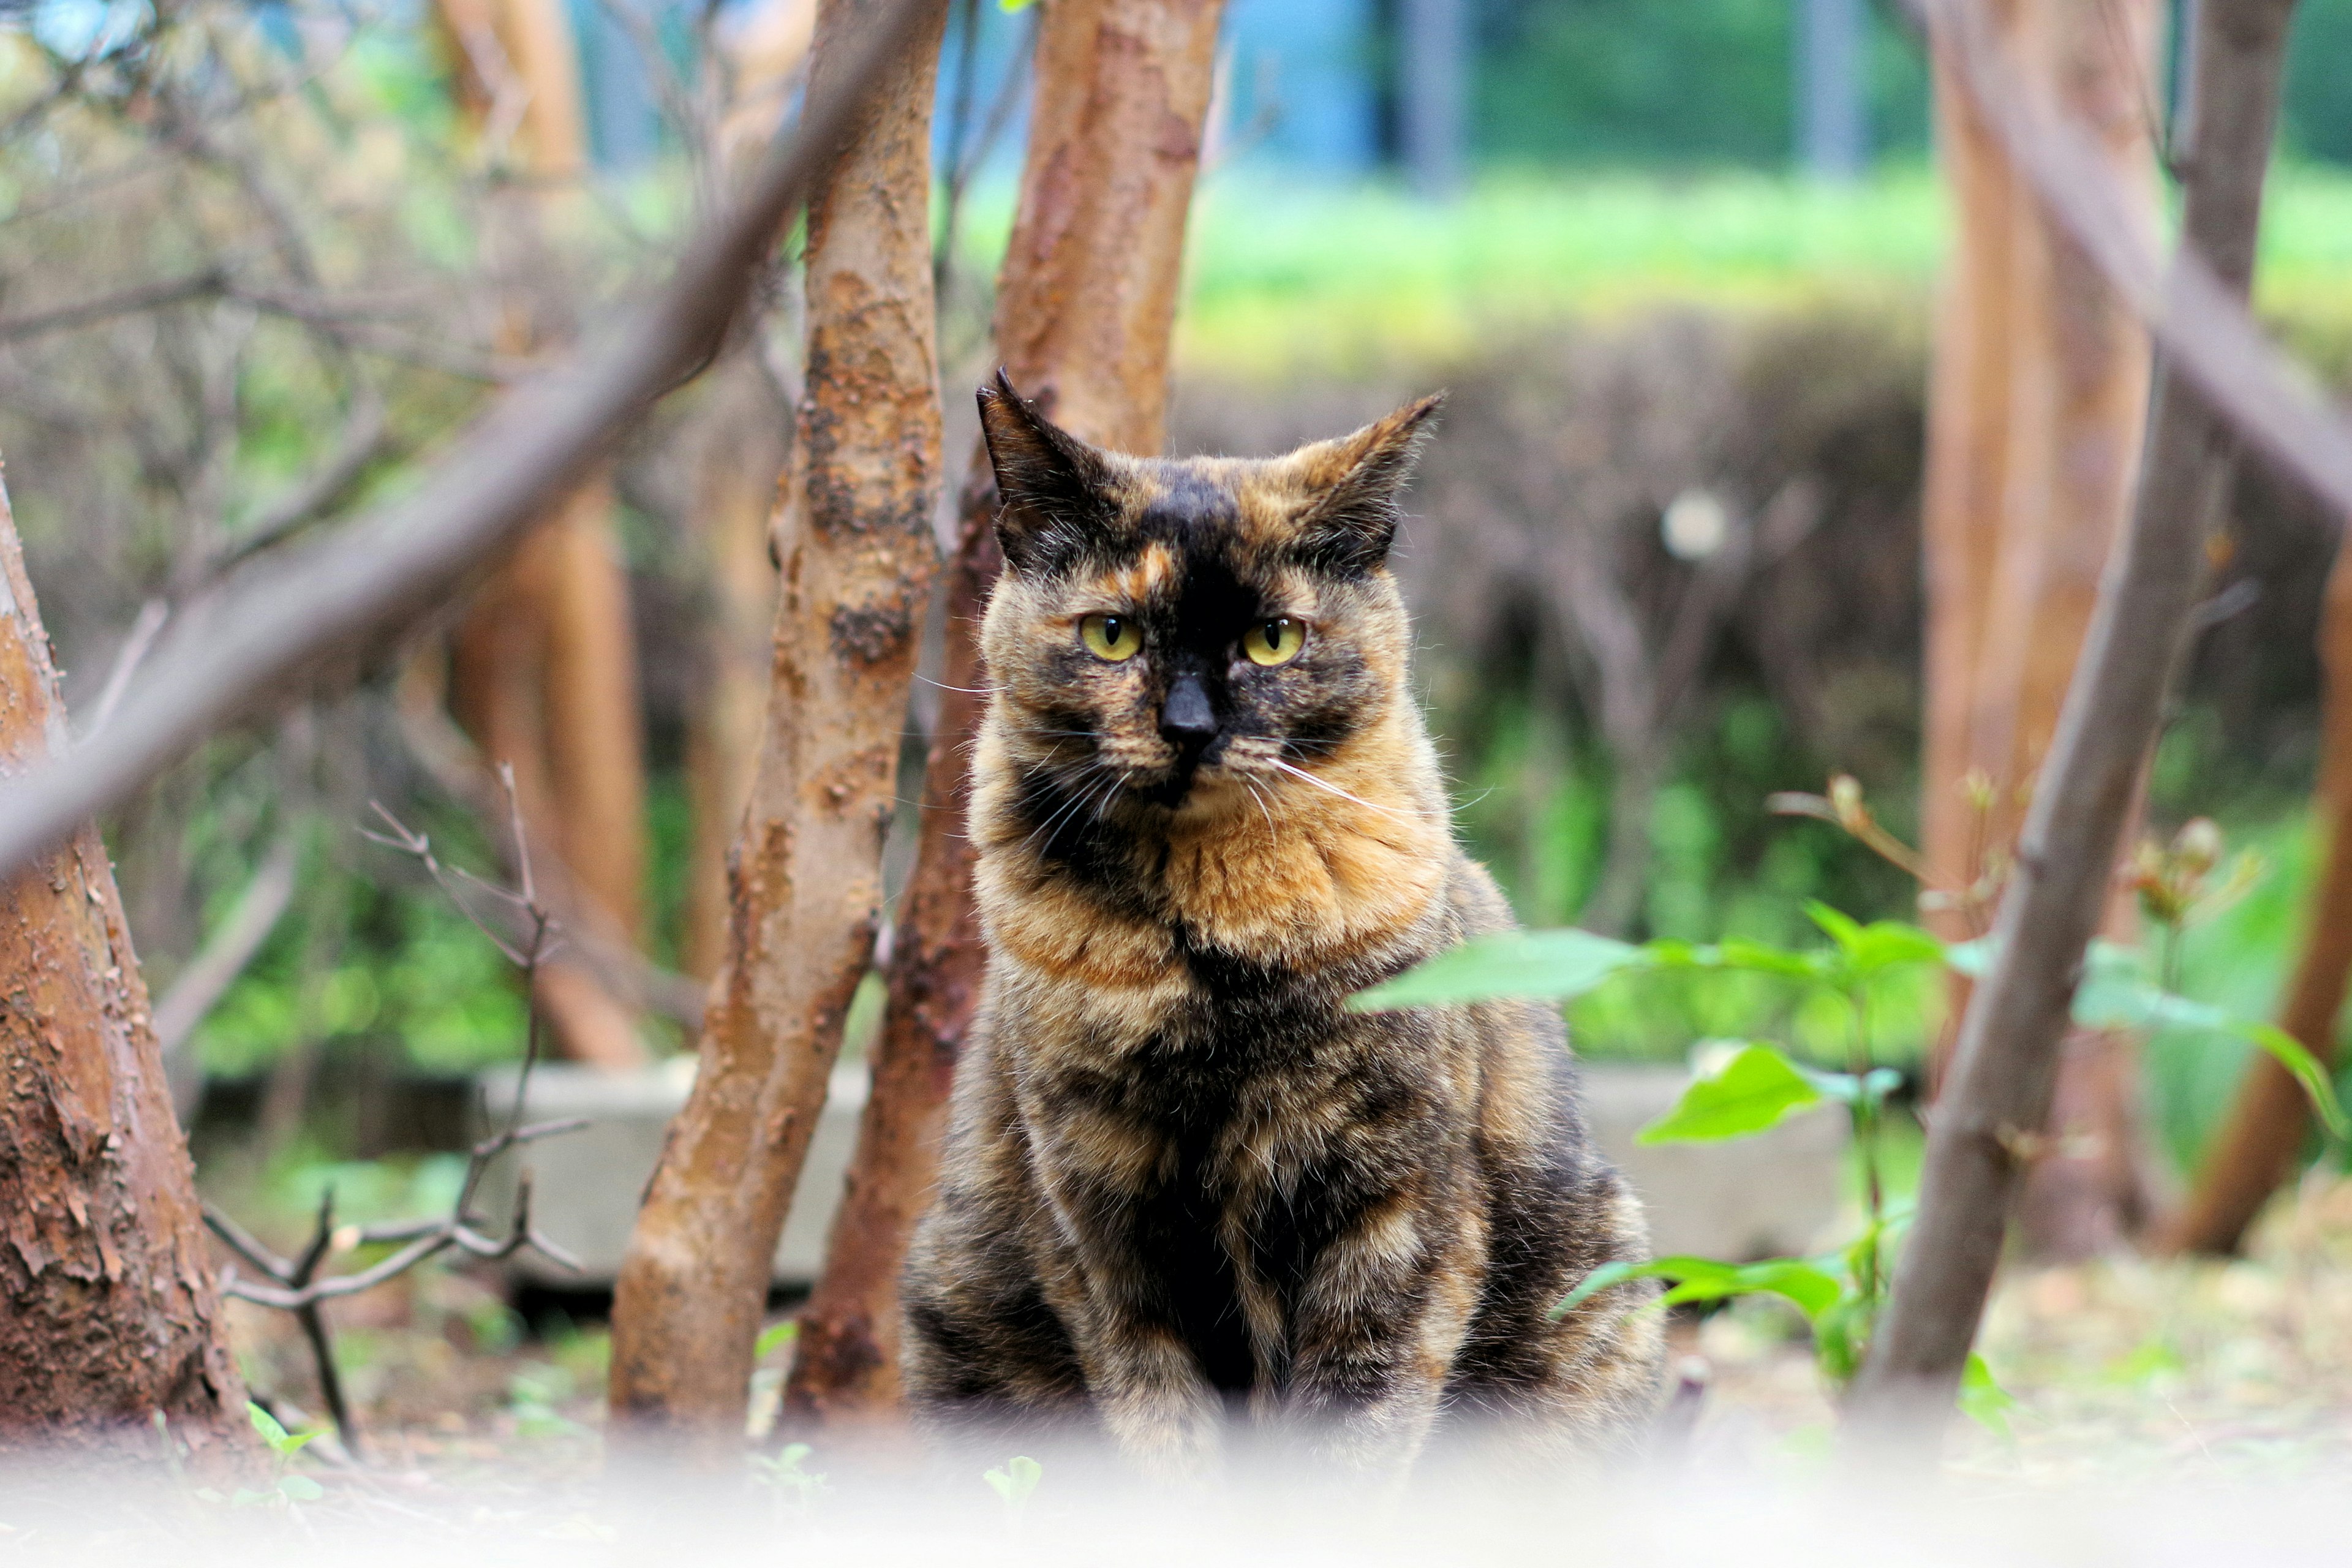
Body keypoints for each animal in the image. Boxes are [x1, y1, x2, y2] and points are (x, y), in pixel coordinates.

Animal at [894, 374, 1656, 1476]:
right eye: (1113, 635)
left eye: (1273, 639)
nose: (1189, 727)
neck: (1210, 947)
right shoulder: (1105, 1232)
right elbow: (1167, 1439)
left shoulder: (1396, 1213)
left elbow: (1349, 1438)